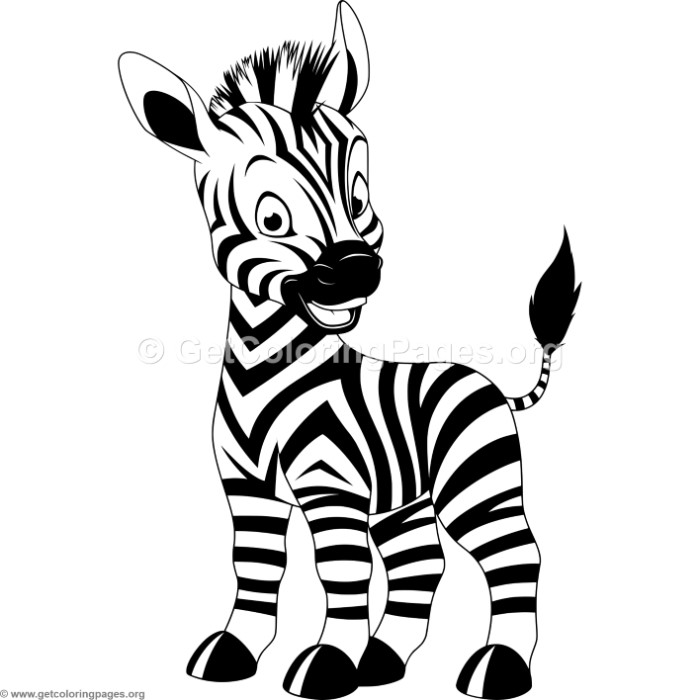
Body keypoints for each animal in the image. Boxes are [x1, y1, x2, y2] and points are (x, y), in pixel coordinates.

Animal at [118, 3, 580, 699]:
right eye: (271, 219)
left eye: (358, 194)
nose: (358, 270)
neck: (261, 371)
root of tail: (492, 384)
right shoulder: (248, 491)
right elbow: (257, 571)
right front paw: (235, 649)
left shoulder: (331, 486)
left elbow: (341, 574)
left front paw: (328, 664)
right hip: (405, 499)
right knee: (421, 563)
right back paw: (384, 662)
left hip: (476, 480)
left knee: (515, 553)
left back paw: (498, 666)